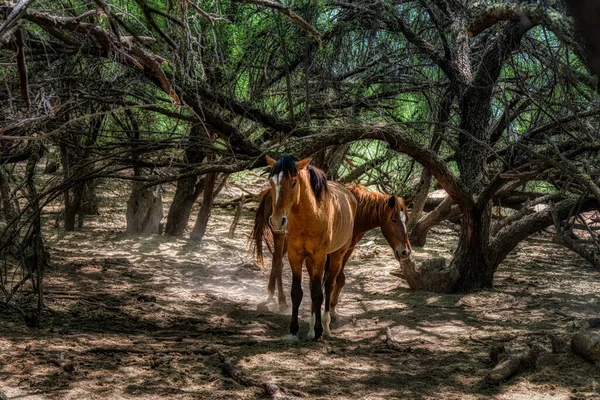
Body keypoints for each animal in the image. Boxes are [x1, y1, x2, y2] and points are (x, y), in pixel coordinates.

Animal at [252, 183, 412, 330]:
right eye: (394, 220)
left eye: (407, 220)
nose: (405, 251)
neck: (357, 211)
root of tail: (269, 192)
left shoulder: (346, 249)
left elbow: (339, 279)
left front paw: (332, 312)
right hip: (279, 235)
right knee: (278, 262)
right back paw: (282, 301)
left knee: (275, 260)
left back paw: (271, 295)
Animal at [262, 155, 356, 342]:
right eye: (271, 181)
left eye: (293, 183)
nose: (277, 221)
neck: (309, 215)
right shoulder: (296, 255)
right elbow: (297, 292)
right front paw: (293, 331)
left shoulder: (320, 256)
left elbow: (318, 293)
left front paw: (319, 331)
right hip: (310, 260)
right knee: (315, 285)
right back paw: (312, 328)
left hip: (337, 255)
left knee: (329, 285)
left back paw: (325, 326)